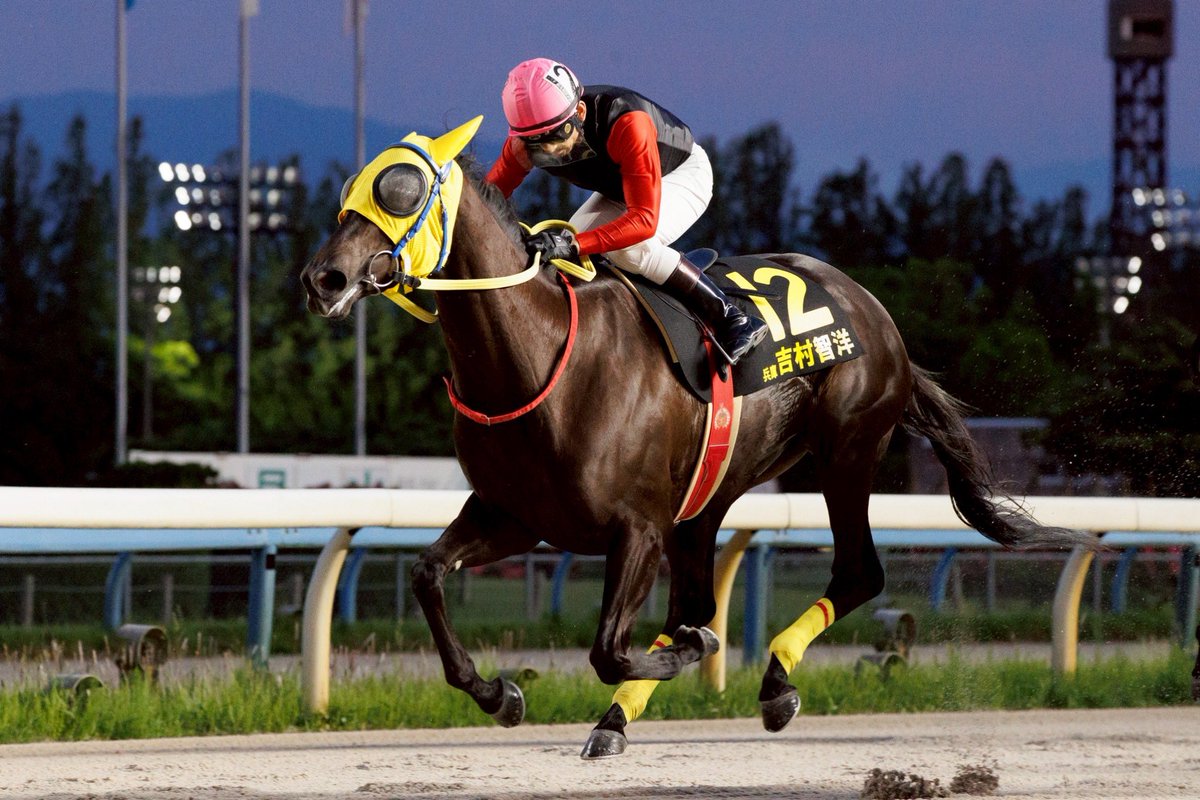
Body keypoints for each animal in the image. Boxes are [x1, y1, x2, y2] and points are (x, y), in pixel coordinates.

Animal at [301, 118, 1092, 757]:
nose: (322, 278)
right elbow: (428, 574)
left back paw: (772, 681)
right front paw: (500, 695)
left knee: (857, 572)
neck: (540, 354)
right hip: (708, 497)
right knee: (703, 599)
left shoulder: (637, 527)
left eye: (401, 189)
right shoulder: (517, 515)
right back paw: (618, 721)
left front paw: (687, 656)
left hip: (846, 450)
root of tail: (873, 309)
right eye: (352, 187)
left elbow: (609, 648)